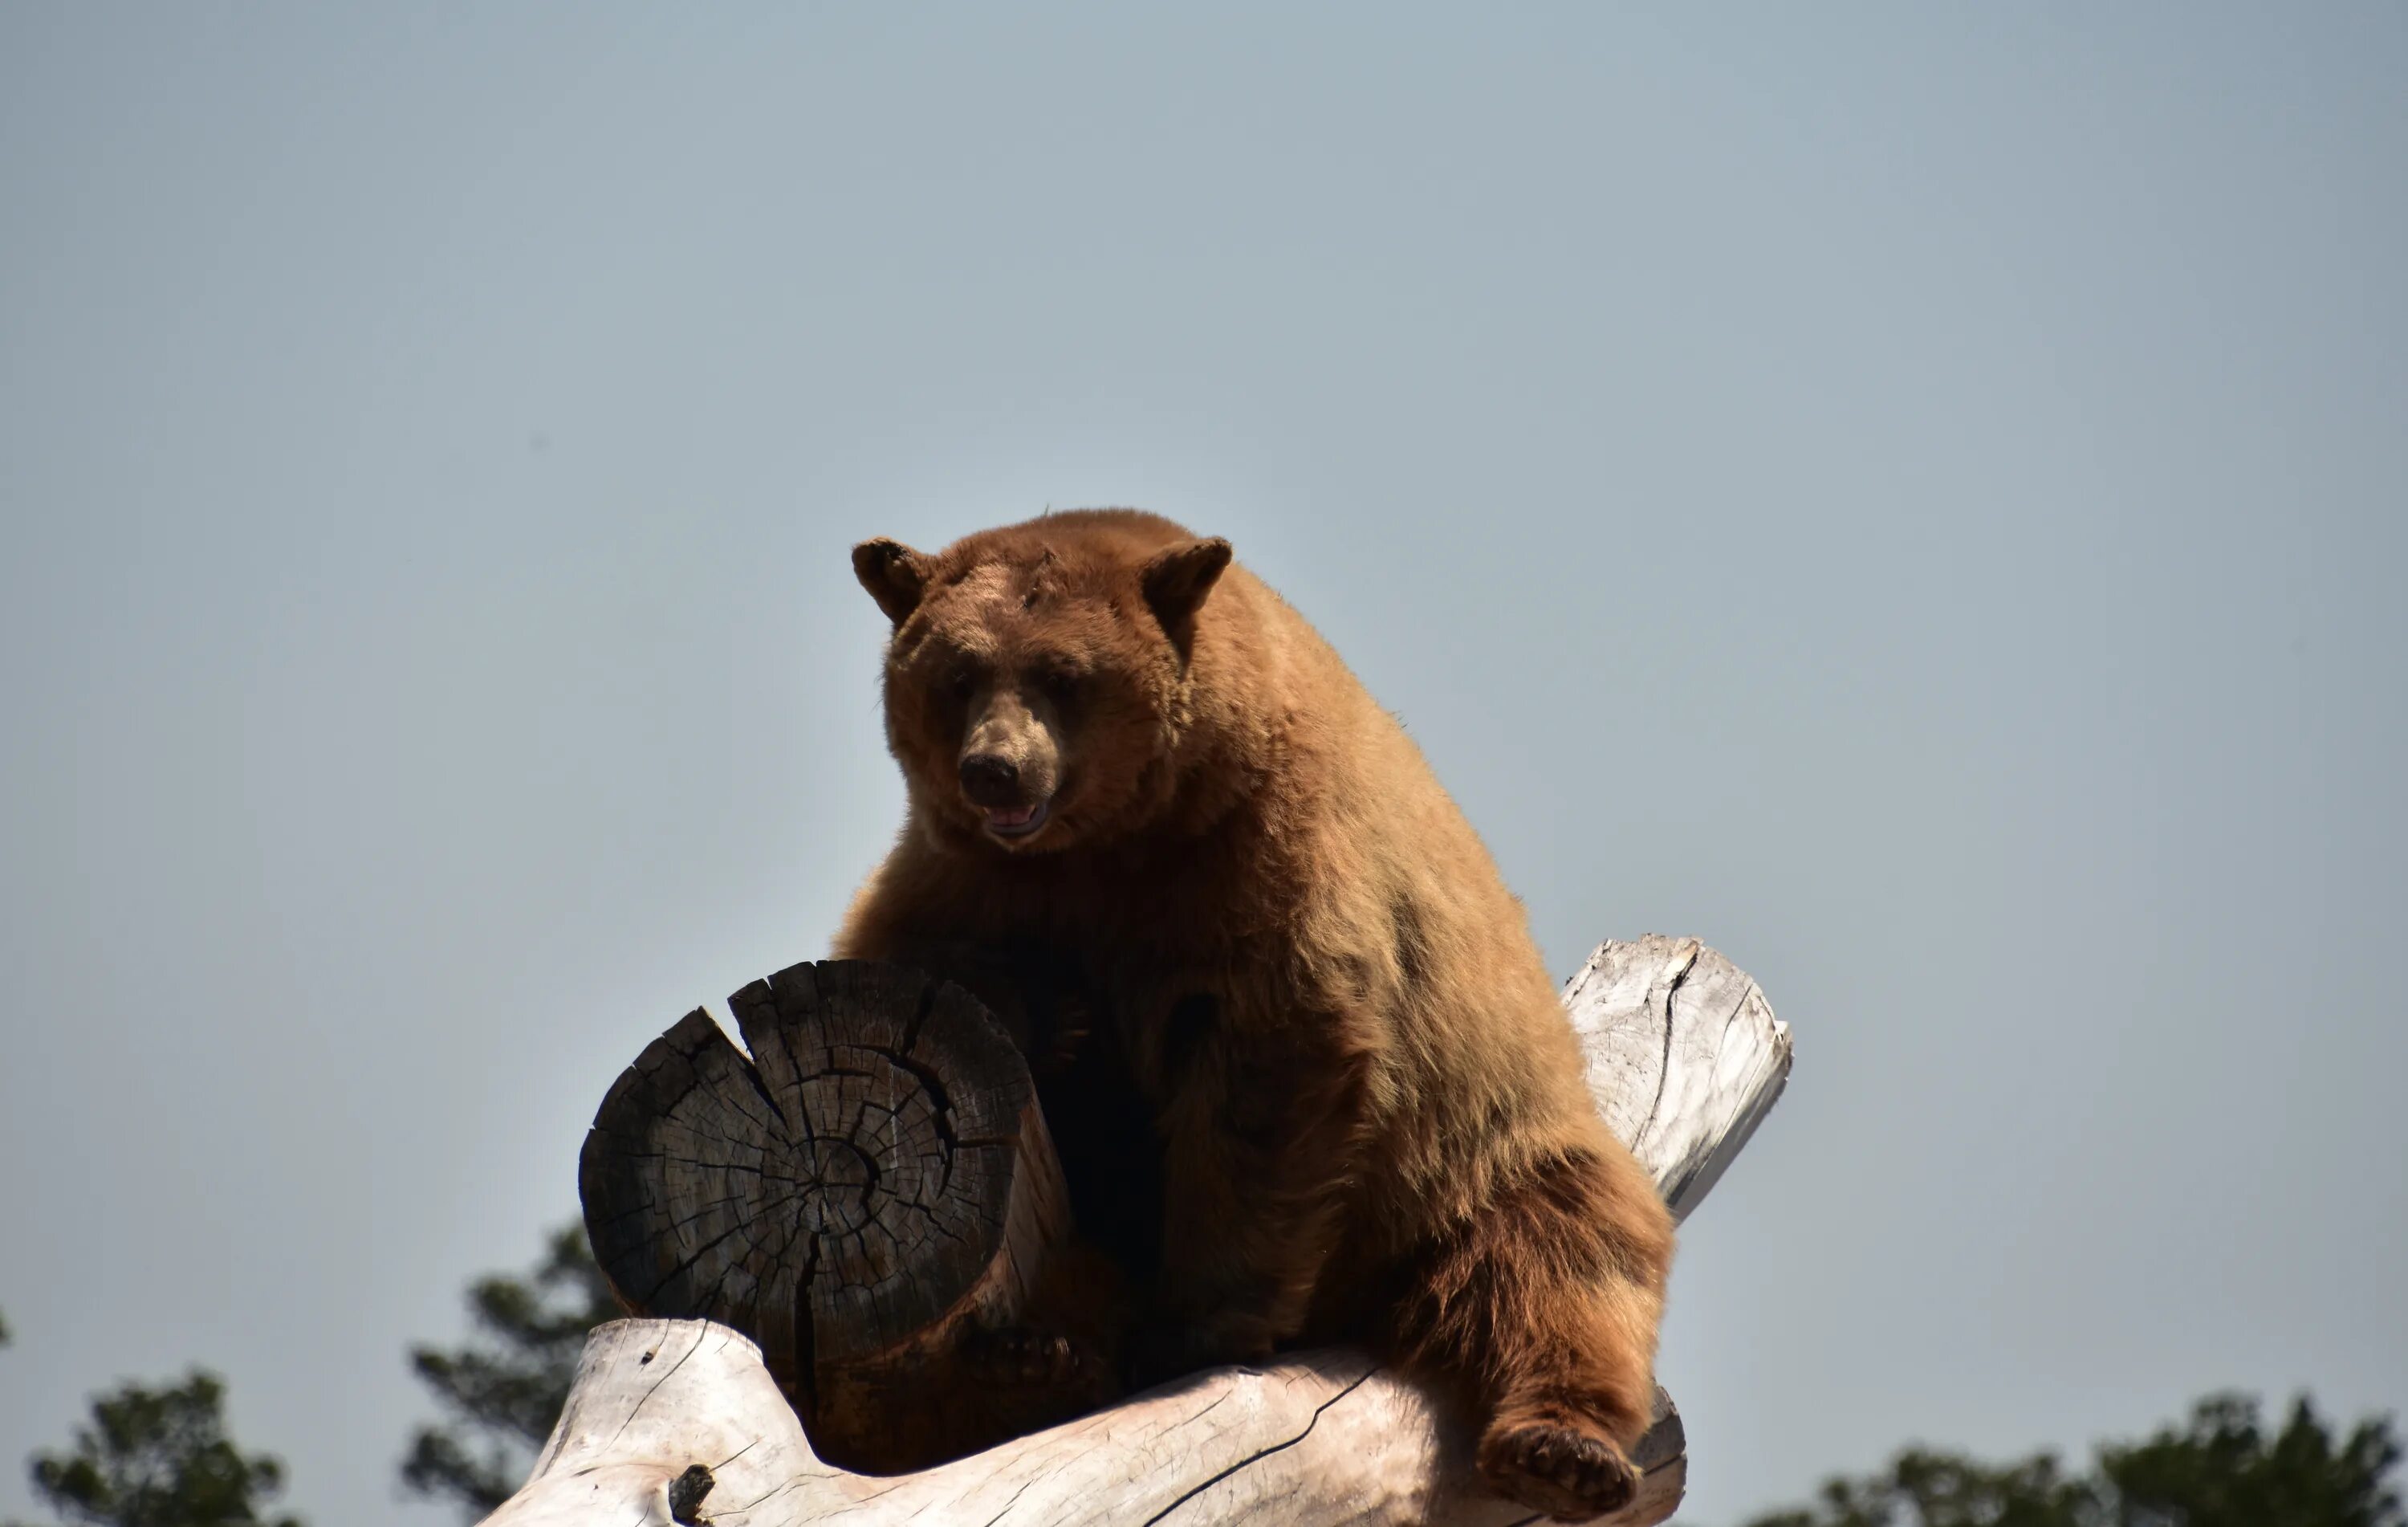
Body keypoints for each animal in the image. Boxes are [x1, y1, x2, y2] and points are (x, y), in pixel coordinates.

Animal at [838, 508, 1666, 1513]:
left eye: (1063, 676)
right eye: (958, 674)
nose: (995, 771)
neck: (1120, 837)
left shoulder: (1261, 860)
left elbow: (1272, 1064)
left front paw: (1199, 1327)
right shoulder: (970, 879)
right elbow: (896, 960)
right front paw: (1053, 1013)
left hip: (1478, 1154)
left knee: (1559, 1258)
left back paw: (1563, 1449)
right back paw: (1029, 1359)